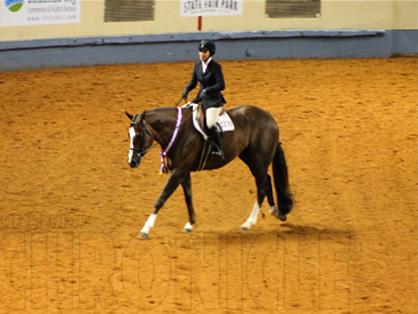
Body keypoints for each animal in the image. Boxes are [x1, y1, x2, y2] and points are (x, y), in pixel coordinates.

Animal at [125, 104, 292, 239]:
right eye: (129, 135)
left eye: (138, 135)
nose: (132, 162)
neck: (177, 131)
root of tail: (270, 118)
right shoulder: (183, 171)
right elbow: (188, 196)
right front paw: (190, 224)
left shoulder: (179, 171)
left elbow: (162, 197)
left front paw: (145, 229)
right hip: (251, 159)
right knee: (267, 181)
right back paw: (276, 212)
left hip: (259, 163)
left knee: (262, 187)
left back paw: (248, 223)